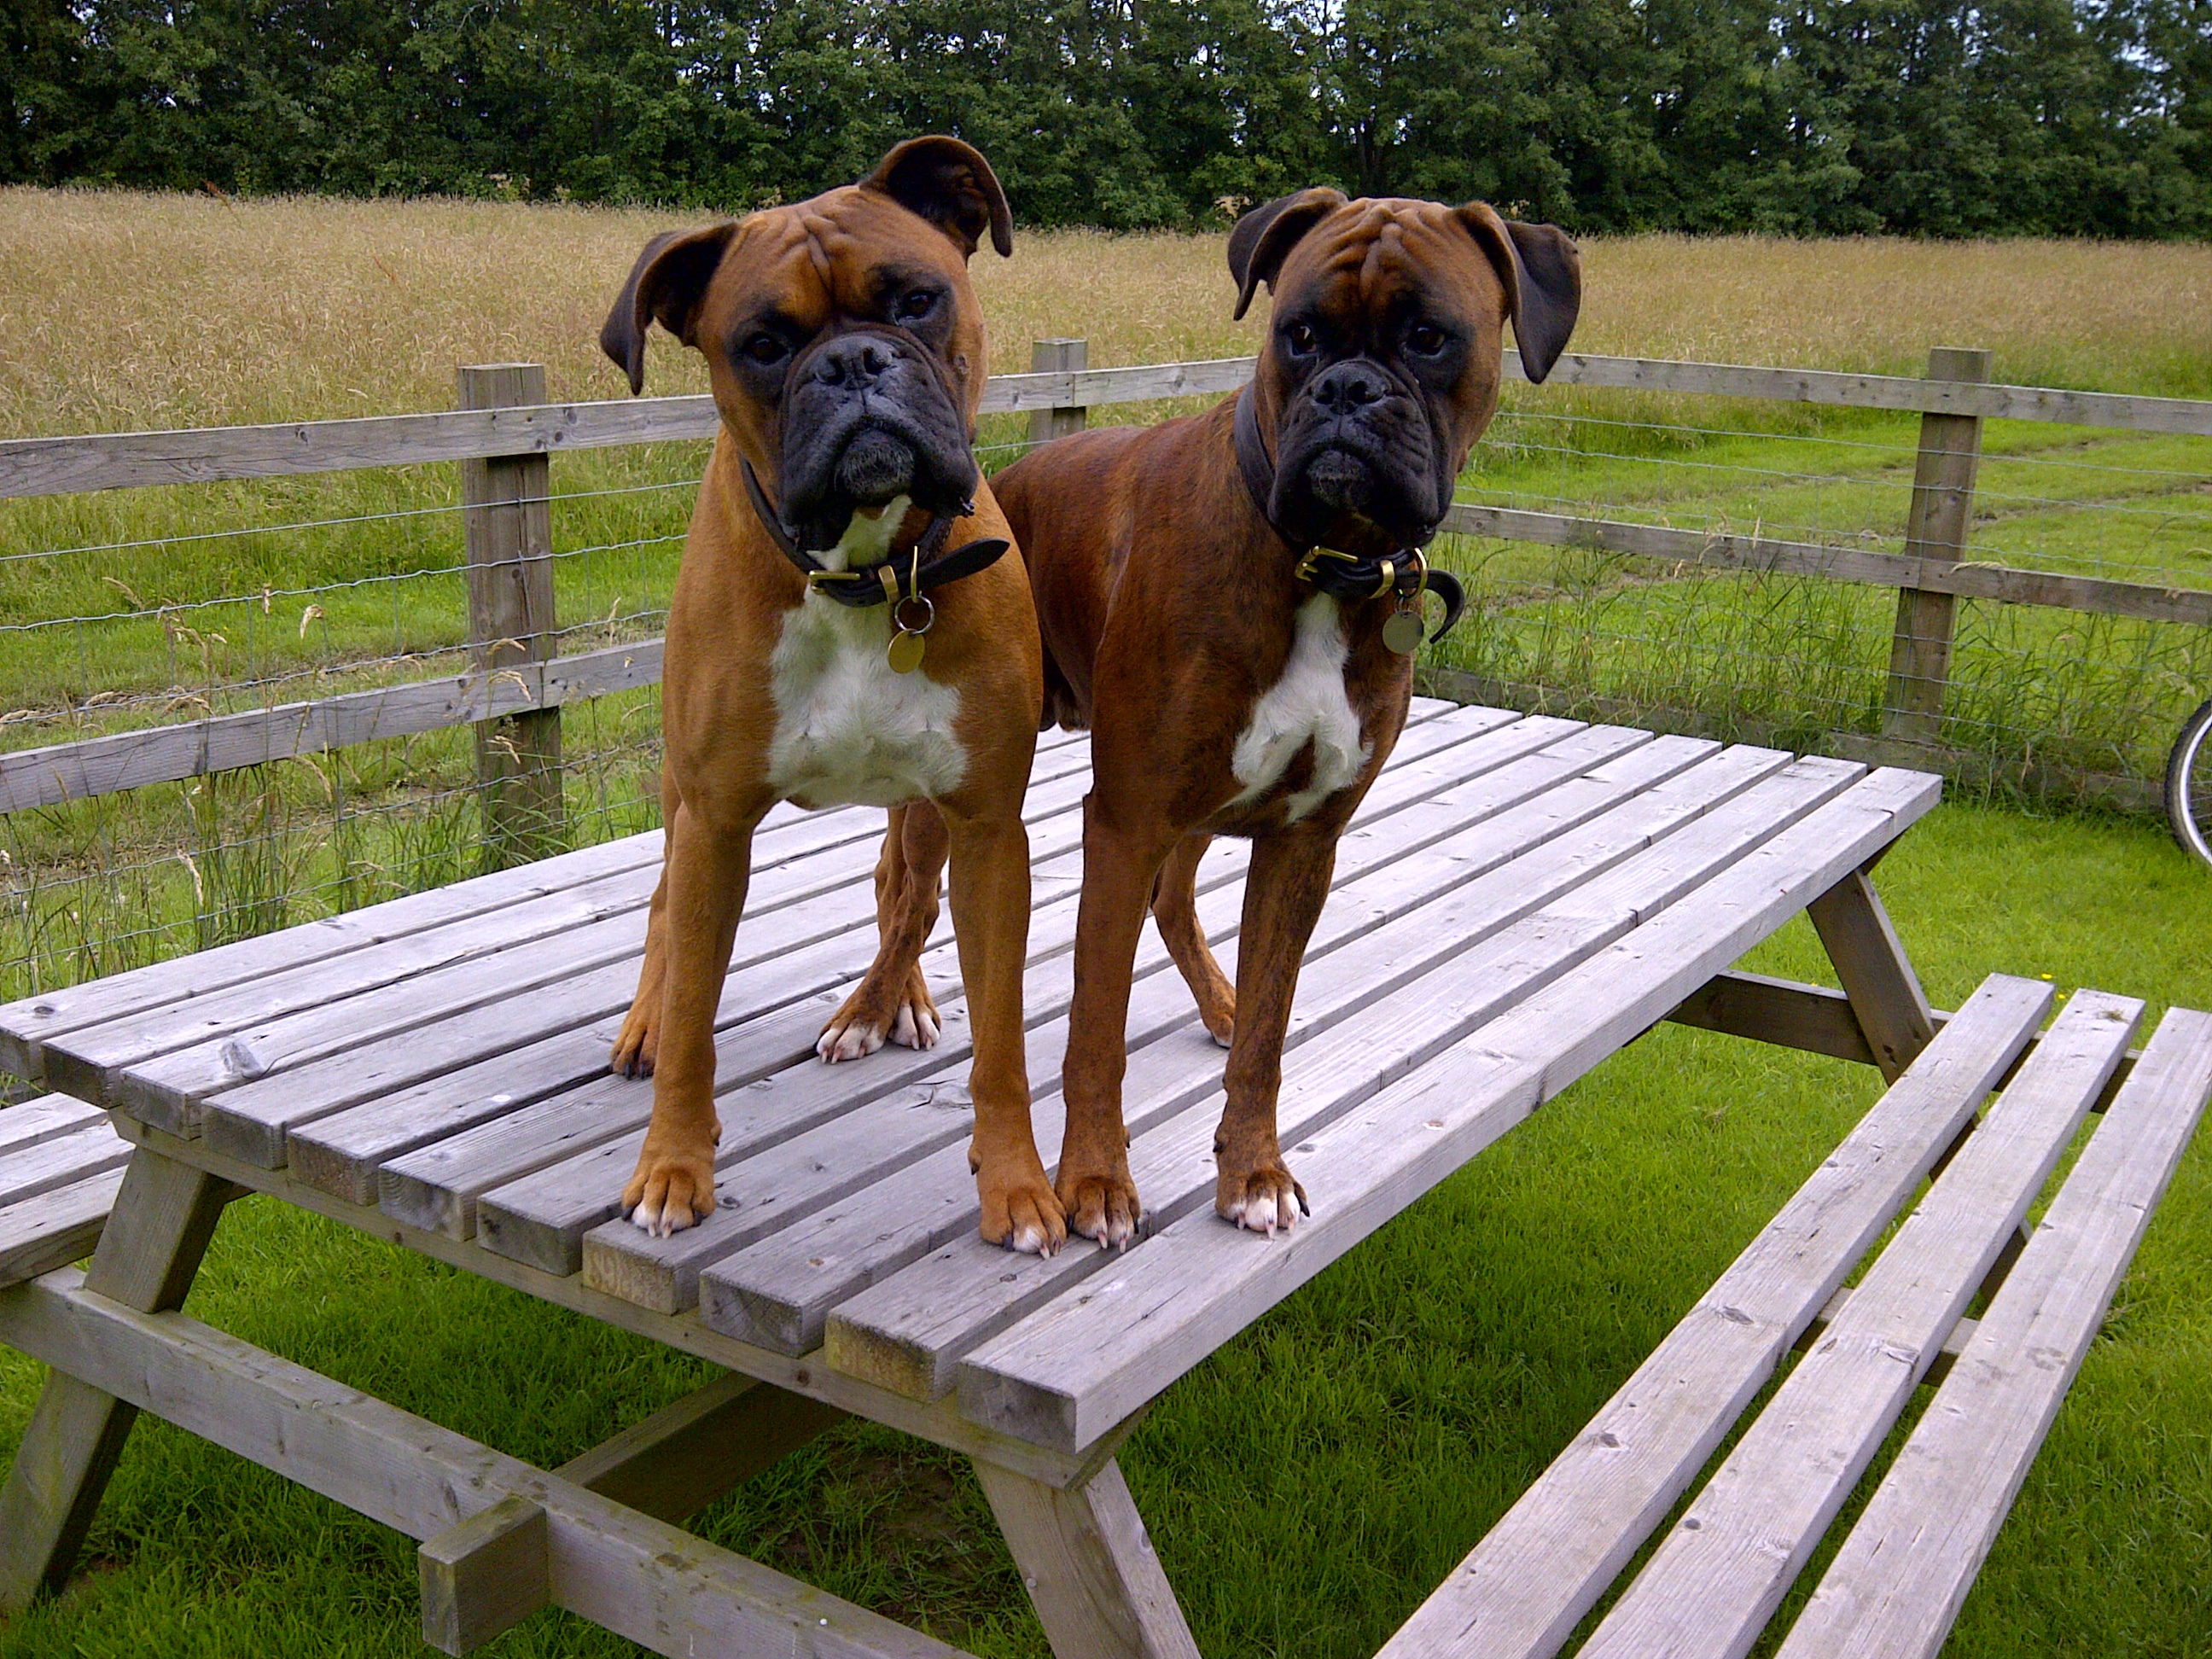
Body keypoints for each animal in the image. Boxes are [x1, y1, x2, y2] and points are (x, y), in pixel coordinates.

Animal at [597, 143, 1062, 1256]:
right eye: (762, 345)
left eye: (918, 300)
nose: (854, 364)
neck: (867, 573)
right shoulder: (717, 822)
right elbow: (695, 1016)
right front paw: (672, 1167)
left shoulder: (988, 826)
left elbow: (1003, 1037)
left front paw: (1018, 1183)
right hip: (681, 800)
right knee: (665, 911)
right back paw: (649, 1022)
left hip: (926, 814)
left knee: (906, 895)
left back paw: (890, 1002)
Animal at [995, 188, 1583, 1247]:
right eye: (1298, 335)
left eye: (1429, 337)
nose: (1347, 390)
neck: (1323, 561)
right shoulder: (1127, 819)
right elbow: (1097, 1027)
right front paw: (1094, 1180)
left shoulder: (1302, 839)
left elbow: (1267, 1036)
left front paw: (1254, 1171)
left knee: (1176, 899)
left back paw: (1217, 1003)